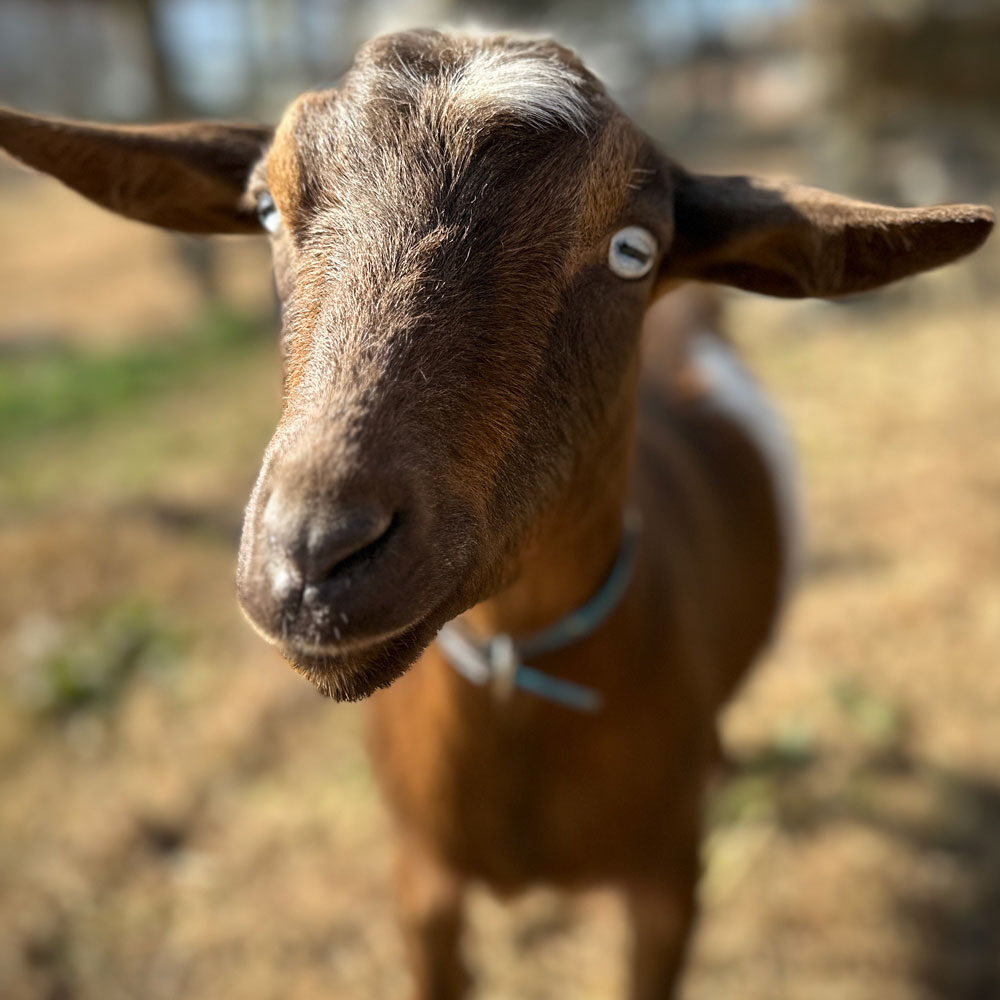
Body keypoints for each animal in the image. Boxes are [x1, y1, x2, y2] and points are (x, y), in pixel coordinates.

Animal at [1, 29, 992, 999]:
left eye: (634, 249)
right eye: (269, 210)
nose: (315, 557)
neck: (521, 669)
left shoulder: (669, 885)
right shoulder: (421, 882)